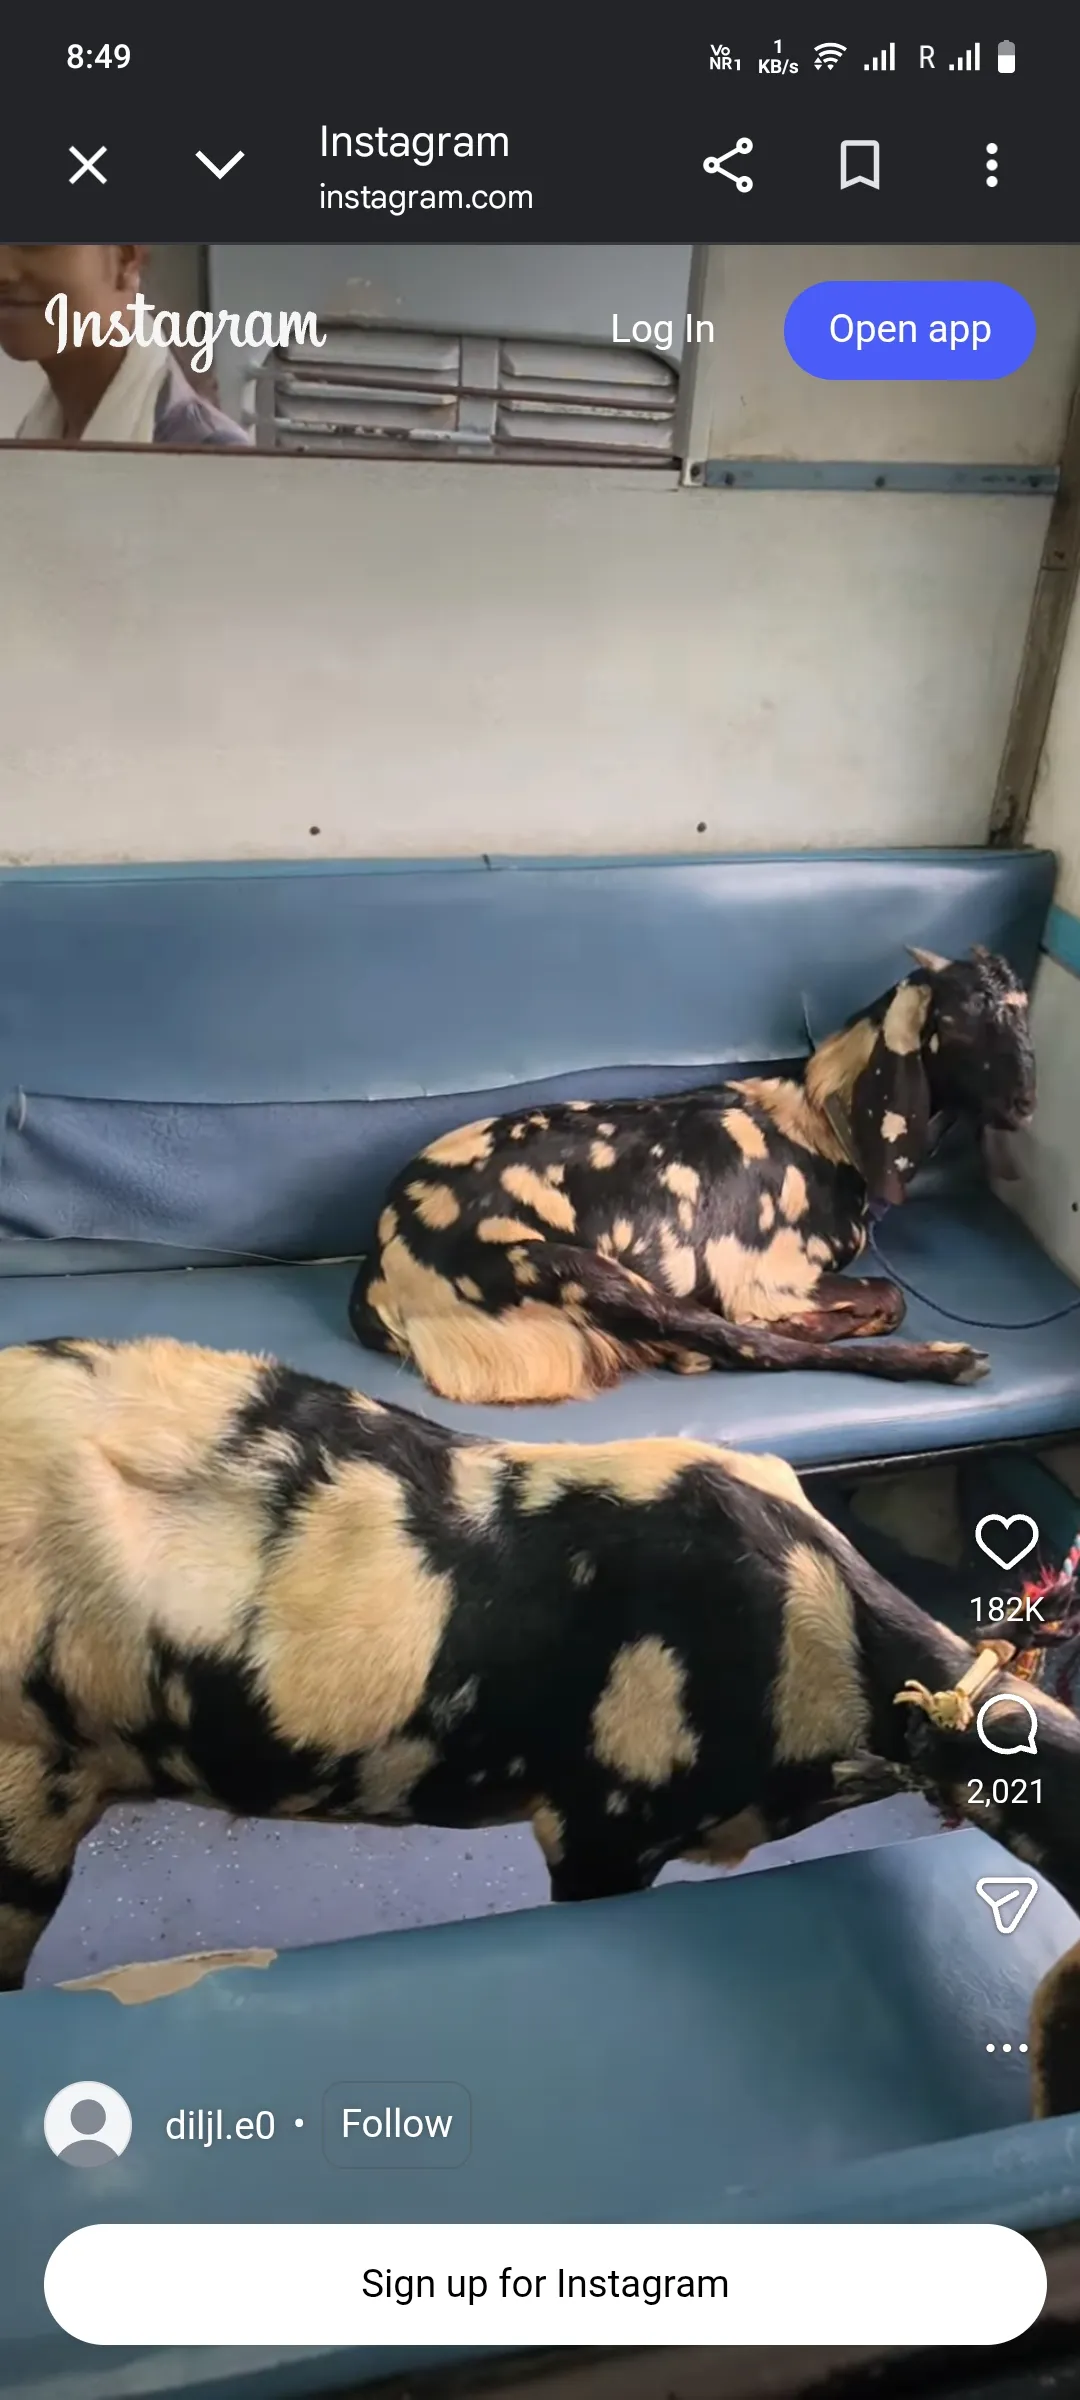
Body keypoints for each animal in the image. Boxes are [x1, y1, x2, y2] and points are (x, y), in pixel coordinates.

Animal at [349, 945, 1035, 1403]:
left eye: (1021, 1007)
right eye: (962, 1017)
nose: (1026, 1102)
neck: (820, 1122)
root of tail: (380, 1265)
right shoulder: (765, 1275)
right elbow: (886, 1297)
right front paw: (802, 1323)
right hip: (576, 1271)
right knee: (754, 1348)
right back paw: (943, 1360)